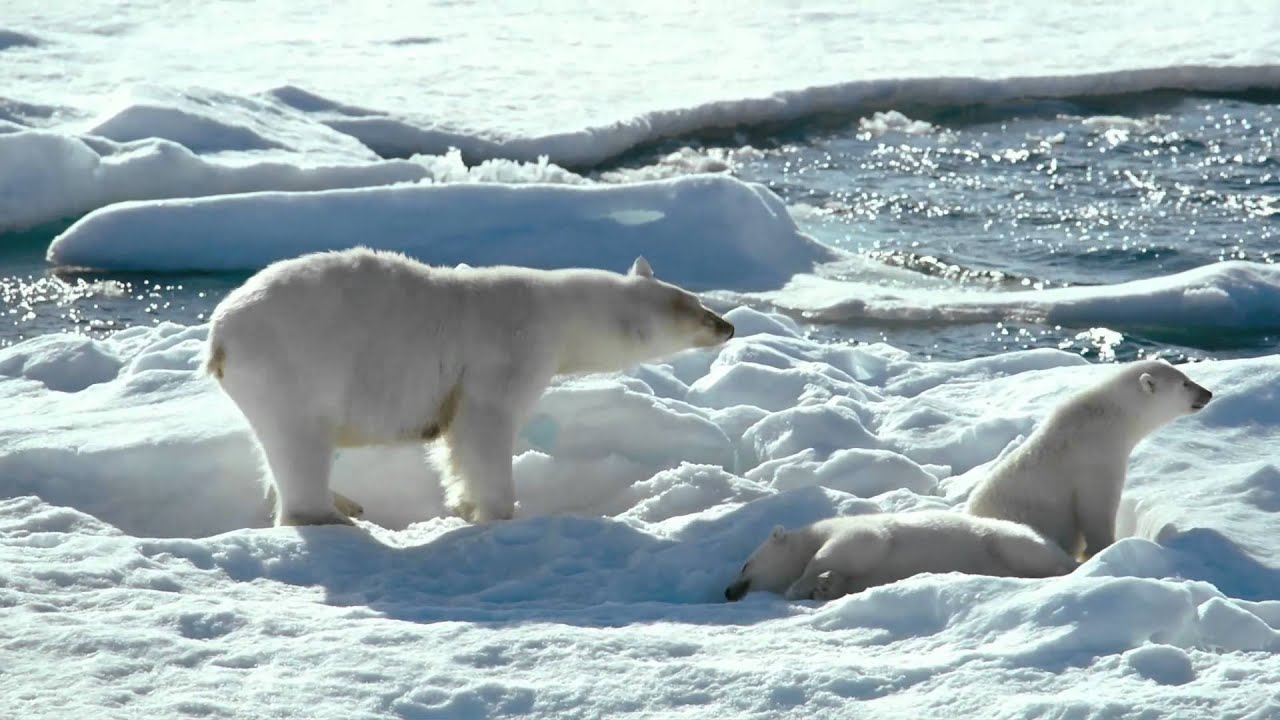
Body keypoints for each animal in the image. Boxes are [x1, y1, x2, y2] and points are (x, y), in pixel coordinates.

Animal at [204, 247, 735, 526]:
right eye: (694, 309)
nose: (728, 326)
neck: (561, 312)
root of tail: (220, 335)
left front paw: (462, 504)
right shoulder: (507, 351)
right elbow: (484, 426)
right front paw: (499, 512)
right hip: (294, 365)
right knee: (301, 442)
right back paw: (328, 515)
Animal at [723, 510, 1076, 602]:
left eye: (744, 565)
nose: (727, 591)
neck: (810, 536)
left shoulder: (851, 530)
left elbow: (860, 543)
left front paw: (801, 585)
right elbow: (845, 581)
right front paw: (824, 587)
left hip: (1005, 540)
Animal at [966, 358, 1212, 561]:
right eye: (1185, 383)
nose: (1208, 393)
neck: (1111, 416)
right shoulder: (1095, 457)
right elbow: (1096, 507)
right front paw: (1103, 549)